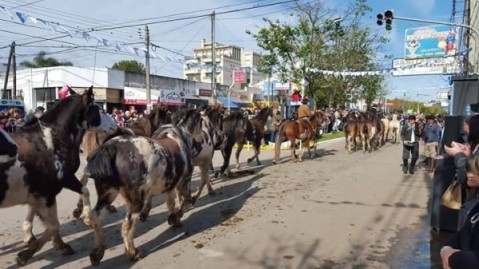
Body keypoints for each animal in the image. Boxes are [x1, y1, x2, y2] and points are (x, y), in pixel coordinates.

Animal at [0, 87, 118, 264]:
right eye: (99, 109)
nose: (115, 126)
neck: (52, 139)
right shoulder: (62, 181)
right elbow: (83, 192)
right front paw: (86, 217)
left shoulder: (44, 190)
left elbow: (46, 216)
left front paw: (54, 243)